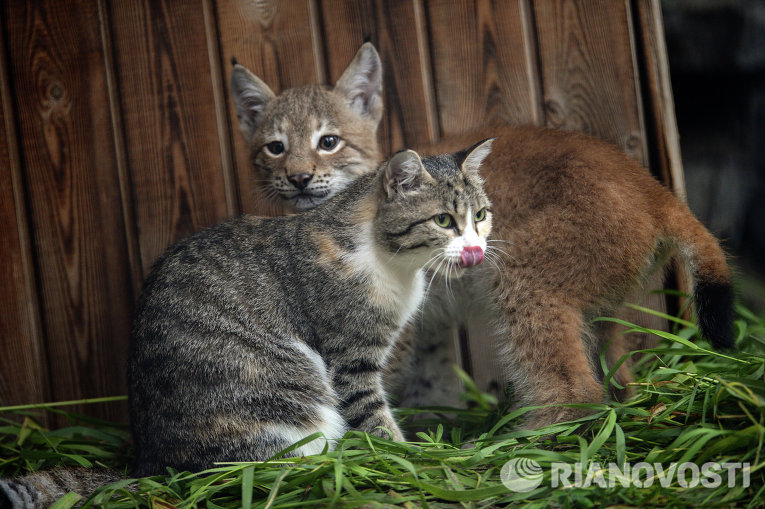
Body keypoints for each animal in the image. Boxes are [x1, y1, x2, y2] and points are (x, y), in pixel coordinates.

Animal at [230, 41, 732, 428]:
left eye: (328, 142)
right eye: (274, 149)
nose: (297, 179)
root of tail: (656, 190)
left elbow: (370, 379)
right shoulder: (425, 321)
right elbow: (430, 376)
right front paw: (429, 421)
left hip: (526, 276)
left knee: (574, 387)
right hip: (599, 301)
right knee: (616, 376)